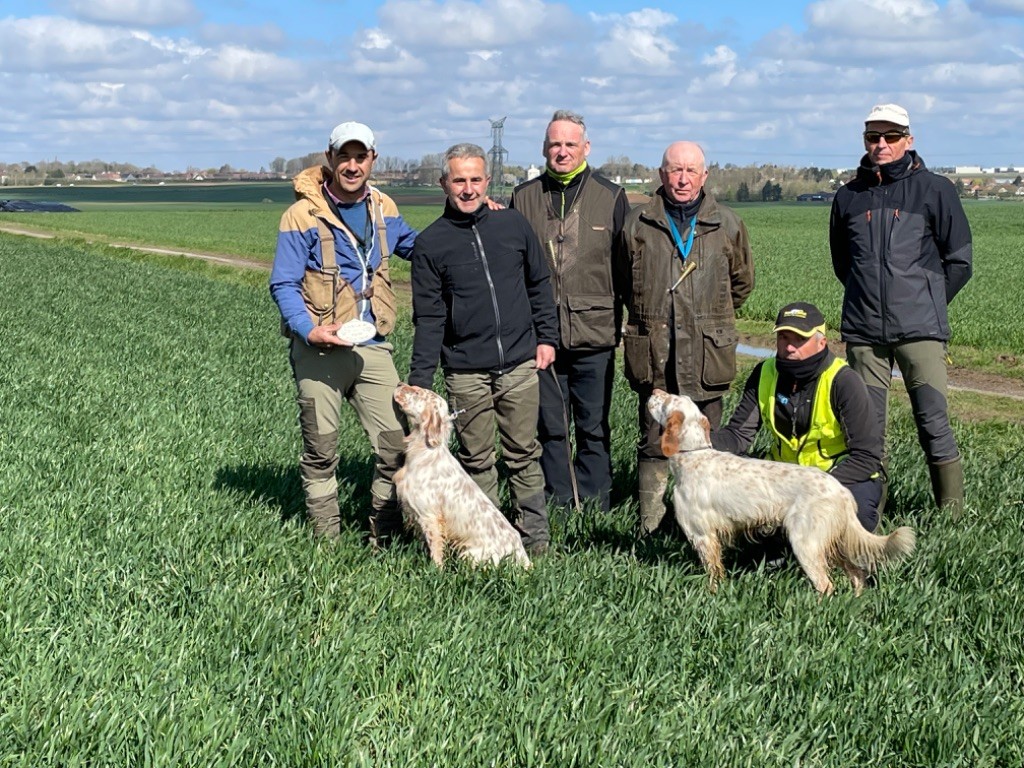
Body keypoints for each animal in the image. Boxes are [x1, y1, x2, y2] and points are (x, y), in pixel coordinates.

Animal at [391, 387, 532, 569]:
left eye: (417, 393)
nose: (400, 384)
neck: (425, 451)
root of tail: (522, 556)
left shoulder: (429, 516)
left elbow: (436, 550)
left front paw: (435, 571)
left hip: (469, 555)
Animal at [643, 391, 917, 593]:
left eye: (667, 400)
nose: (654, 390)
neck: (694, 455)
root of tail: (841, 492)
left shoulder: (703, 535)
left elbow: (713, 573)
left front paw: (712, 594)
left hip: (806, 542)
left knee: (826, 585)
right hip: (832, 542)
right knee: (857, 574)